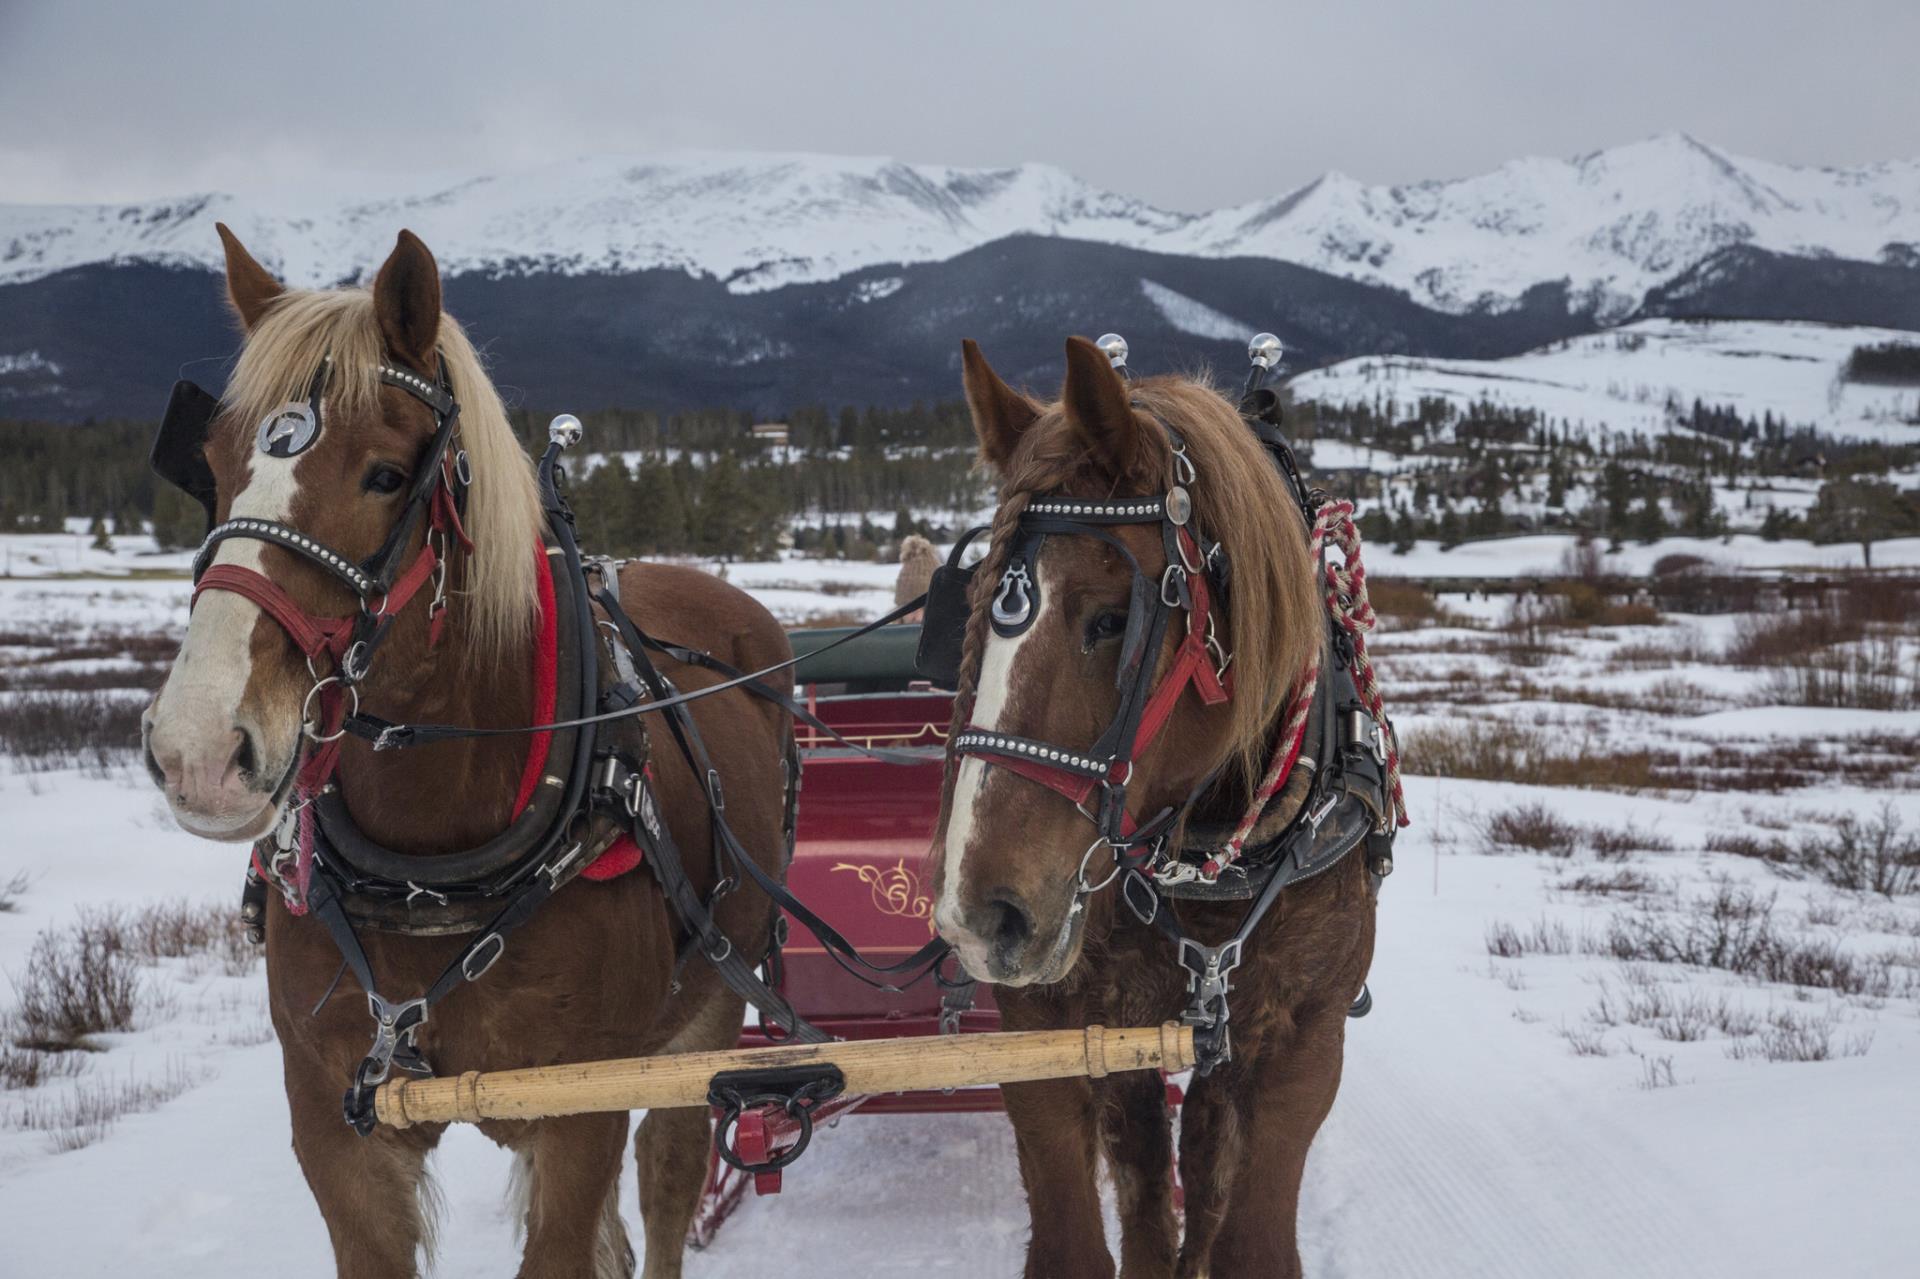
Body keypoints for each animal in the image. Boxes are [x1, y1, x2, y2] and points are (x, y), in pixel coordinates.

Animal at [139, 223, 791, 1267]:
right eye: (213, 459)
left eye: (385, 472)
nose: (198, 748)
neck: (428, 867)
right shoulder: (335, 1123)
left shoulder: (581, 1108)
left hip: (703, 1020)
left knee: (669, 1181)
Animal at [929, 336, 1382, 1275]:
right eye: (973, 603)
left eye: (1111, 619)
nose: (979, 916)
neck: (1212, 858)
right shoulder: (1050, 1026)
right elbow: (1084, 1234)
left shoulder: (1304, 1044)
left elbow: (1244, 1232)